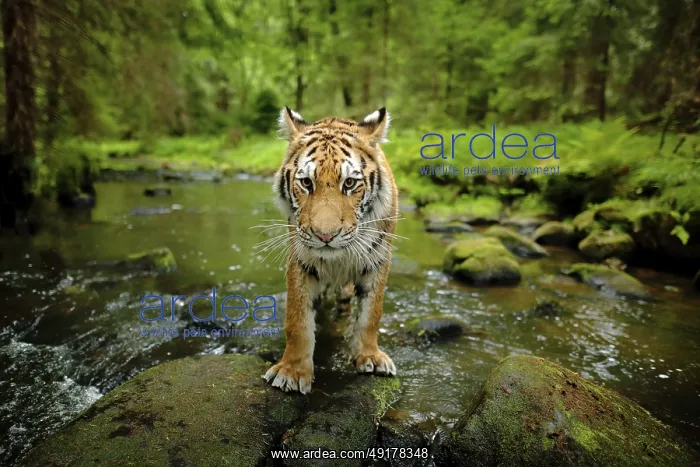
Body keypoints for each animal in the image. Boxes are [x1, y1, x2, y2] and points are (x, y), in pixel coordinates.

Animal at [263, 106, 399, 394]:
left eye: (349, 183)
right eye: (306, 183)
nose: (326, 236)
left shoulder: (378, 260)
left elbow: (371, 313)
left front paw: (370, 357)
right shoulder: (301, 260)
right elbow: (298, 319)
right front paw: (292, 372)